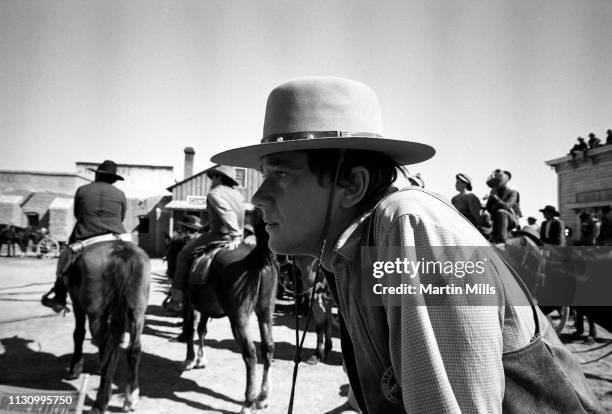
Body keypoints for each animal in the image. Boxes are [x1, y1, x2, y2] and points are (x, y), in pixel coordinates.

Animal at [64, 239, 151, 414]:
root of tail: (121, 251)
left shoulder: (77, 303)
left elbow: (78, 333)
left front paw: (75, 368)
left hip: (97, 315)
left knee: (107, 351)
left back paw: (101, 402)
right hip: (138, 310)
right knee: (134, 349)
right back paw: (131, 397)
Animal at [186, 213, 280, 414]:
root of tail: (254, 257)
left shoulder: (189, 303)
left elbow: (191, 329)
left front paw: (190, 359)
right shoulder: (206, 307)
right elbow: (201, 329)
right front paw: (200, 358)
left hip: (239, 317)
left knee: (250, 354)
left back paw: (248, 402)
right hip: (266, 310)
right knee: (268, 347)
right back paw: (263, 396)